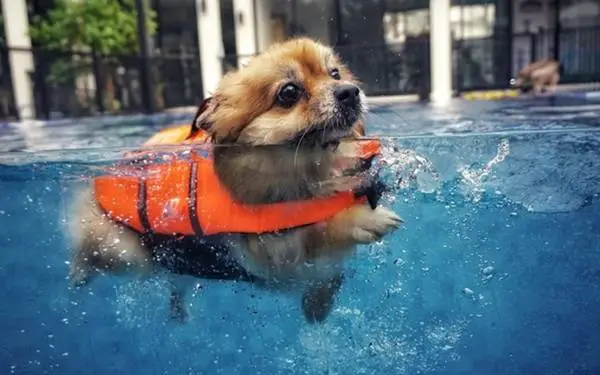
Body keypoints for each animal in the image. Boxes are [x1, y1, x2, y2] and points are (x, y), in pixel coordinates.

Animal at [64, 39, 404, 326]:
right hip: (122, 250)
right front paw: (363, 218)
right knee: (92, 253)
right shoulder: (278, 255)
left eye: (334, 73)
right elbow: (319, 230)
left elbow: (327, 275)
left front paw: (318, 306)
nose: (350, 91)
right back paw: (78, 272)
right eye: (289, 92)